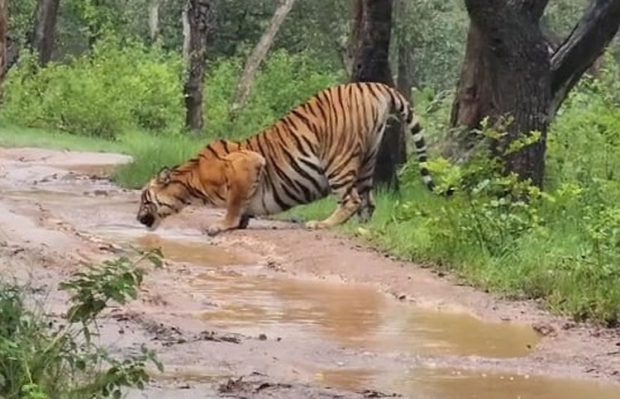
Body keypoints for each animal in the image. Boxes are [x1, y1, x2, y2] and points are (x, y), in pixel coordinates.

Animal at [136, 82, 446, 238]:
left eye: (144, 198)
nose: (138, 219)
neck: (190, 182)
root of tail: (374, 86)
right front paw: (239, 222)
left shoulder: (246, 163)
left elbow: (234, 204)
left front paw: (221, 225)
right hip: (368, 157)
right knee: (368, 201)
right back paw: (363, 228)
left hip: (338, 159)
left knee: (352, 199)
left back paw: (321, 225)